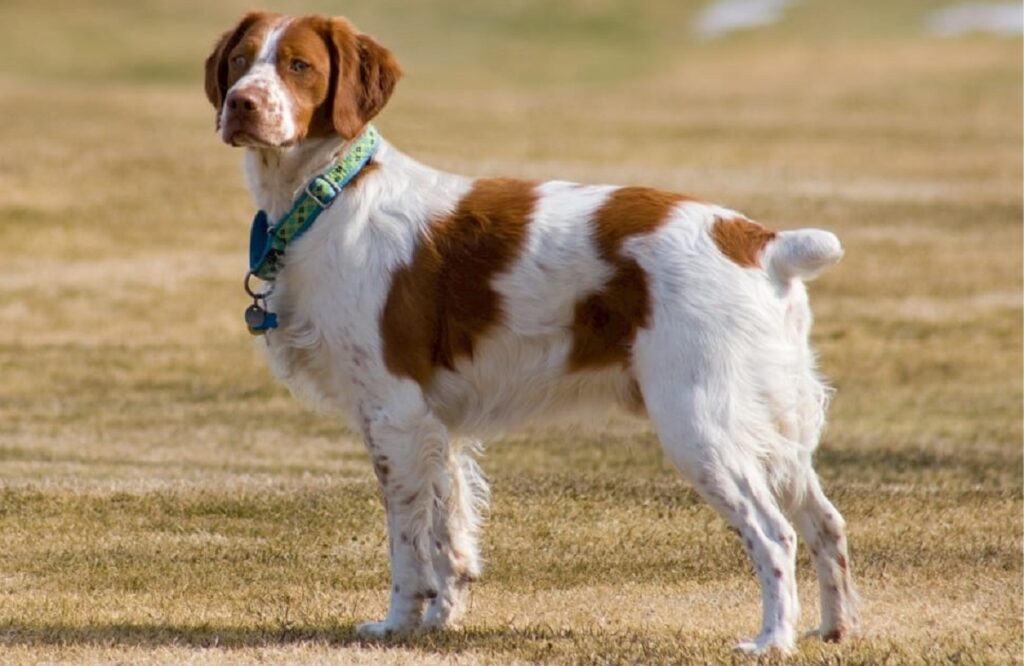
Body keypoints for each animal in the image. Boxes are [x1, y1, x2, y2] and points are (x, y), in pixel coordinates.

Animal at [201, 11, 856, 651]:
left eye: (299, 66)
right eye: (240, 60)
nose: (241, 104)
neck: (329, 196)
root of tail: (761, 242)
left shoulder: (395, 414)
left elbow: (408, 542)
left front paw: (396, 625)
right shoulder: (437, 426)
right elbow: (449, 533)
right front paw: (439, 622)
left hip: (700, 424)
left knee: (774, 534)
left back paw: (772, 640)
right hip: (773, 426)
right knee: (825, 522)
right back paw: (833, 629)